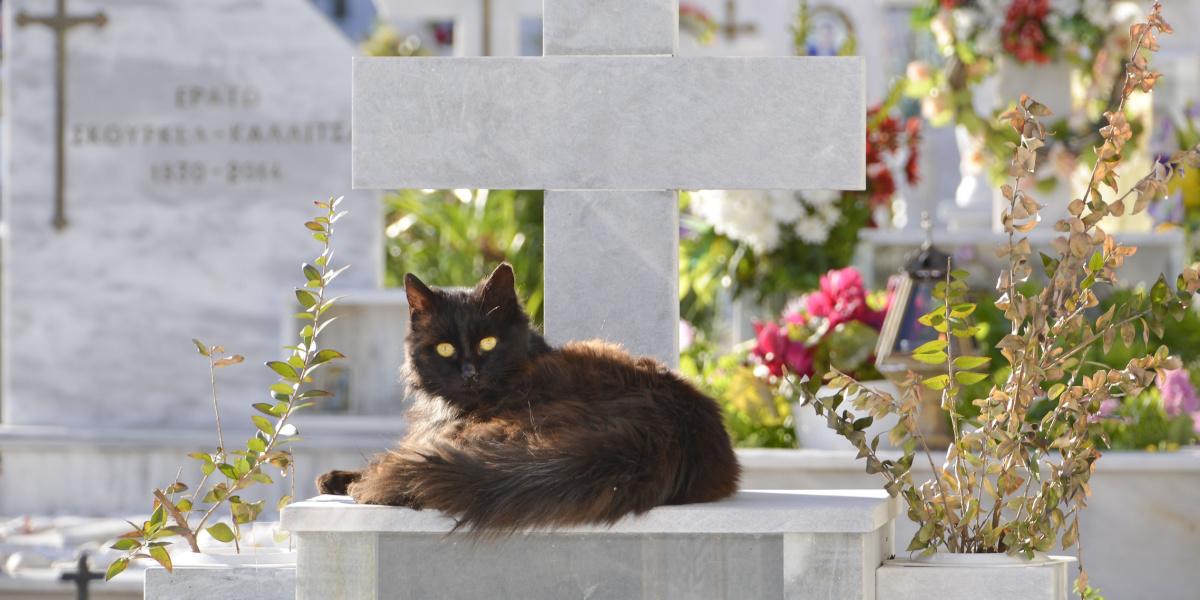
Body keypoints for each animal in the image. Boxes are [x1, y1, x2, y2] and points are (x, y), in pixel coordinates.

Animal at [314, 265, 734, 532]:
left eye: (488, 342)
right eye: (446, 349)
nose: (470, 373)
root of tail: (659, 434)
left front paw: (343, 479)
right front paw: (333, 478)